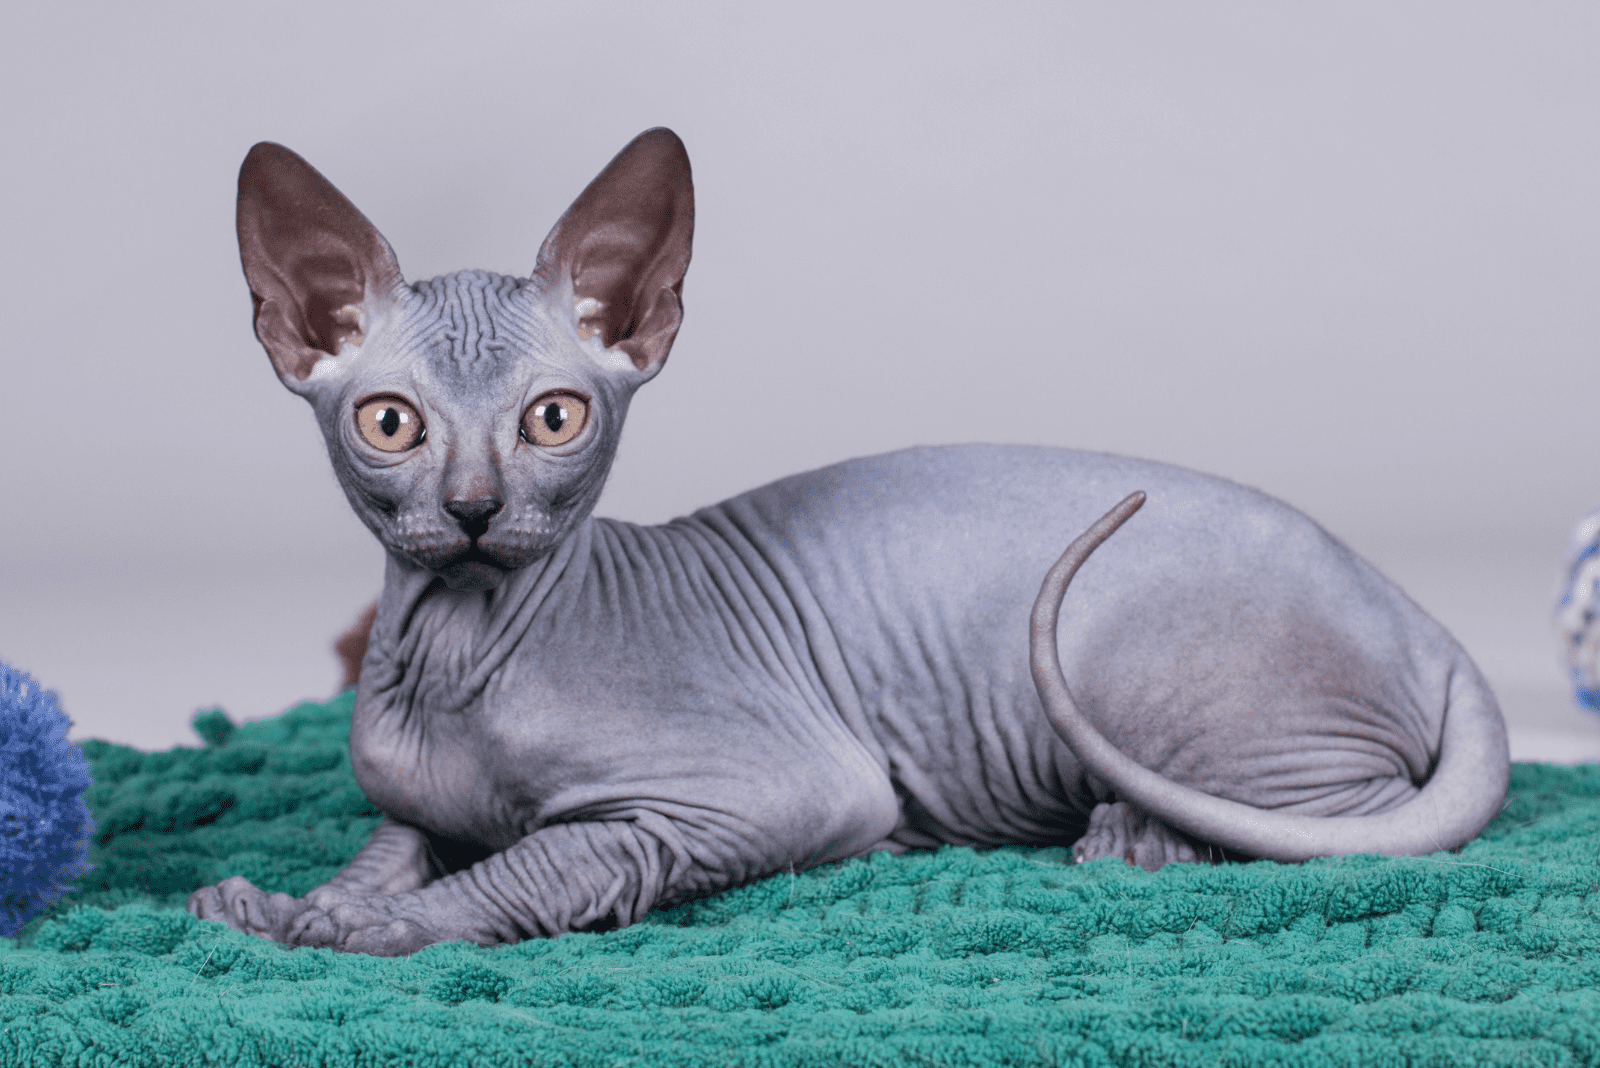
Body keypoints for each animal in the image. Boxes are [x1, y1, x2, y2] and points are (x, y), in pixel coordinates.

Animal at [190, 129, 1510, 952]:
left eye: (553, 418)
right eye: (391, 423)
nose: (469, 508)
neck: (458, 651)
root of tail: (1411, 607)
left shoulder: (785, 793)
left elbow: (544, 861)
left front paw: (386, 925)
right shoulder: (416, 807)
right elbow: (395, 842)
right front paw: (293, 902)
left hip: (1148, 669)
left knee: (1359, 830)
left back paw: (1140, 837)